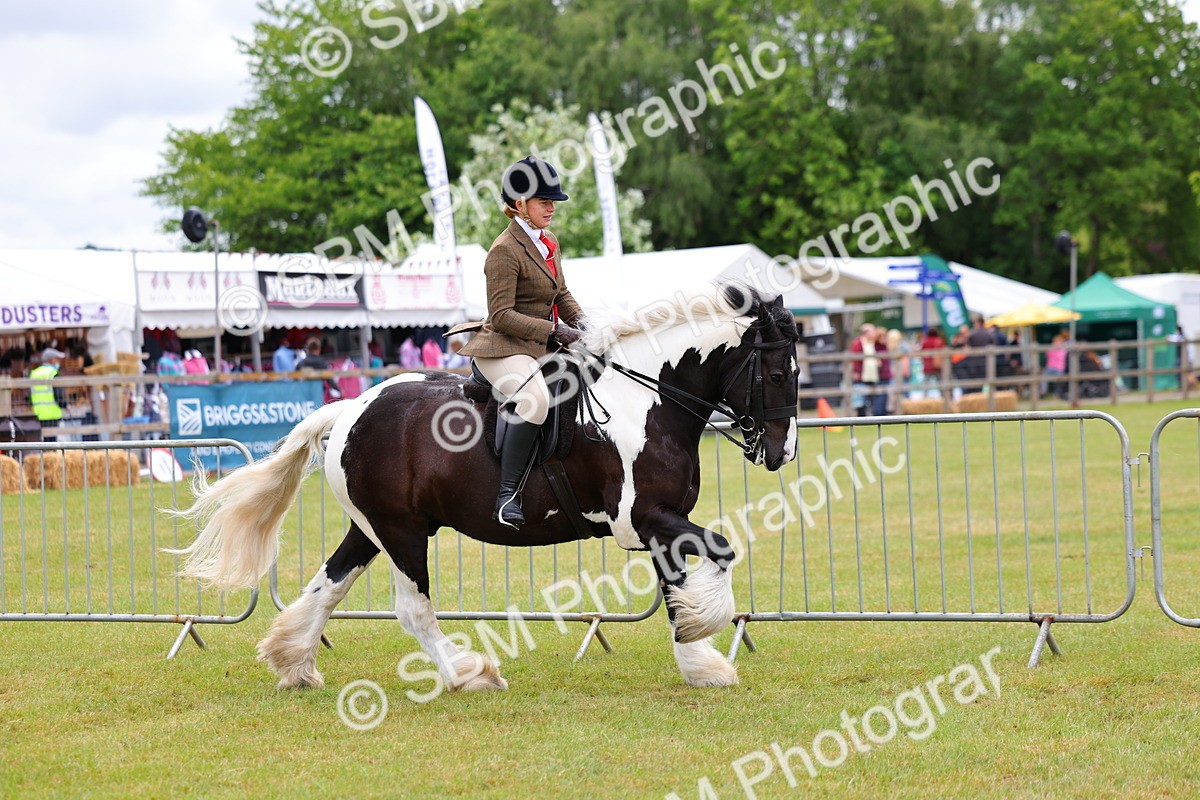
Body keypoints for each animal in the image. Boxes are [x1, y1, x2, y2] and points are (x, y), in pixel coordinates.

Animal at [171, 282, 800, 692]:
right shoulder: (645, 519)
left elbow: (676, 586)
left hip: (371, 529)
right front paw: (707, 629)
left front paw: (699, 662)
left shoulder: (660, 522)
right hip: (401, 533)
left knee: (327, 587)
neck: (647, 403)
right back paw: (468, 673)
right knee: (413, 611)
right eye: (775, 373)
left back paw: (295, 664)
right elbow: (720, 552)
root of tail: (351, 407)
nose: (781, 452)